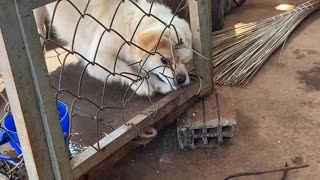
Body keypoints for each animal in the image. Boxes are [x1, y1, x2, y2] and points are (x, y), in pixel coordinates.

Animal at [37, 0, 192, 96]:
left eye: (186, 61)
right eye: (164, 61)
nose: (181, 79)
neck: (128, 28)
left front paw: (159, 85)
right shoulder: (98, 59)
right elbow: (126, 69)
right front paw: (143, 86)